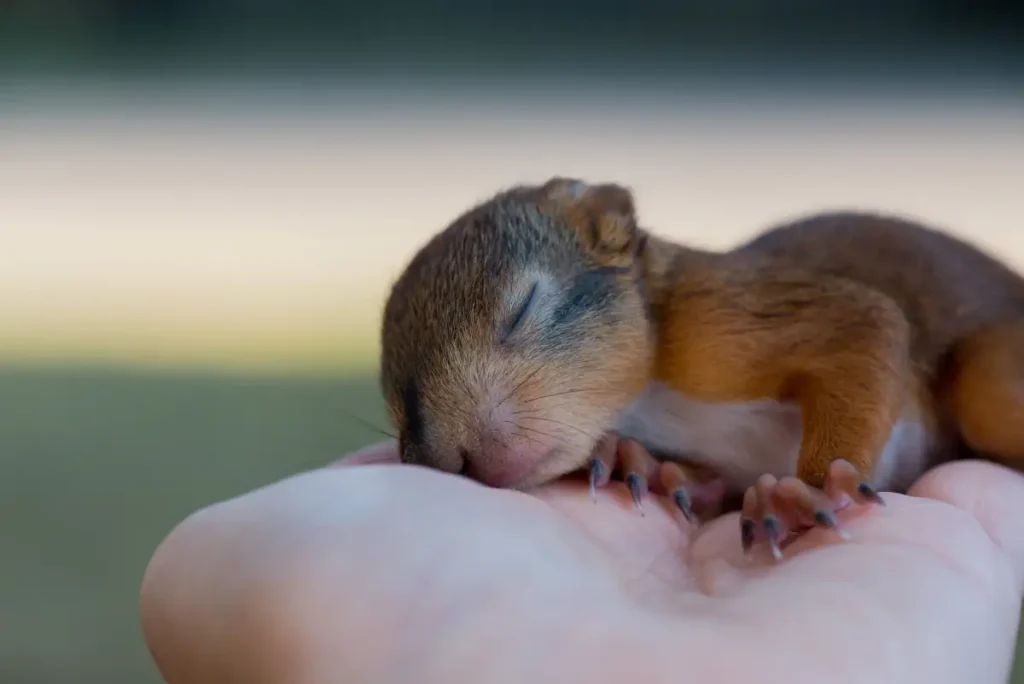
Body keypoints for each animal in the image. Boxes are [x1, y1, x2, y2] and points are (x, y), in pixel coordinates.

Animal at [379, 177, 1024, 560]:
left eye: (523, 308)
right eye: (396, 410)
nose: (454, 461)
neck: (647, 402)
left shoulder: (713, 321)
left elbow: (866, 322)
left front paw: (808, 491)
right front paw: (636, 462)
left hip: (990, 388)